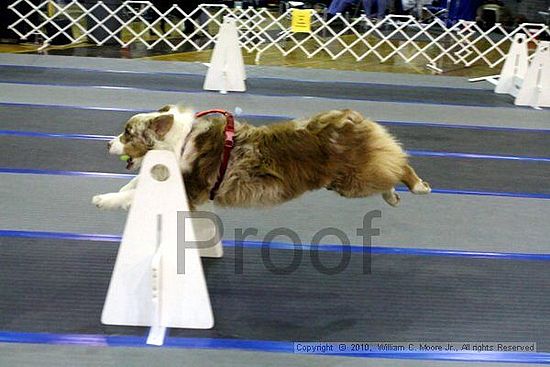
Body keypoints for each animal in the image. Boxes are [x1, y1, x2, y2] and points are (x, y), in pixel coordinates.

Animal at [92, 105, 434, 211]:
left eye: (127, 134)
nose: (106, 144)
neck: (180, 141)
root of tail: (349, 117)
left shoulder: (189, 189)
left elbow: (132, 194)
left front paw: (103, 199)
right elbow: (133, 185)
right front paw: (116, 191)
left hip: (355, 178)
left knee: (398, 163)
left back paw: (418, 186)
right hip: (348, 180)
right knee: (387, 169)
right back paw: (392, 196)